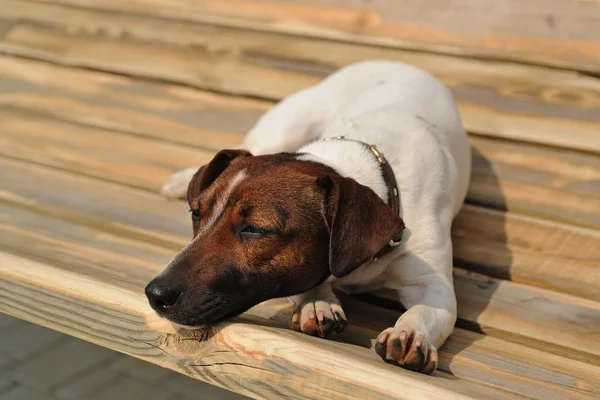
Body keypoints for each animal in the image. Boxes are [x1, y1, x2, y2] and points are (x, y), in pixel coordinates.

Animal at [144, 61, 468, 374]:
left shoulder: (433, 284)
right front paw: (317, 301)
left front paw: (412, 333)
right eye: (196, 214)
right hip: (284, 128)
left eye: (253, 229)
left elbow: (426, 310)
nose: (154, 294)